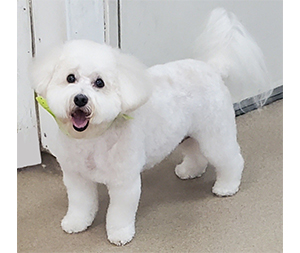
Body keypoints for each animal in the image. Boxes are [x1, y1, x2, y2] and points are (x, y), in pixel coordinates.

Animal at [31, 8, 270, 246]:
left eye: (99, 83)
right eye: (70, 78)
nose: (80, 99)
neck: (93, 139)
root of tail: (214, 68)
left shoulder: (124, 182)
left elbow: (119, 213)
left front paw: (120, 234)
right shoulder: (76, 178)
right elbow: (81, 204)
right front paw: (76, 223)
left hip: (215, 134)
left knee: (231, 159)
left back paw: (227, 186)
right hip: (187, 133)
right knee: (196, 154)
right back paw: (189, 171)